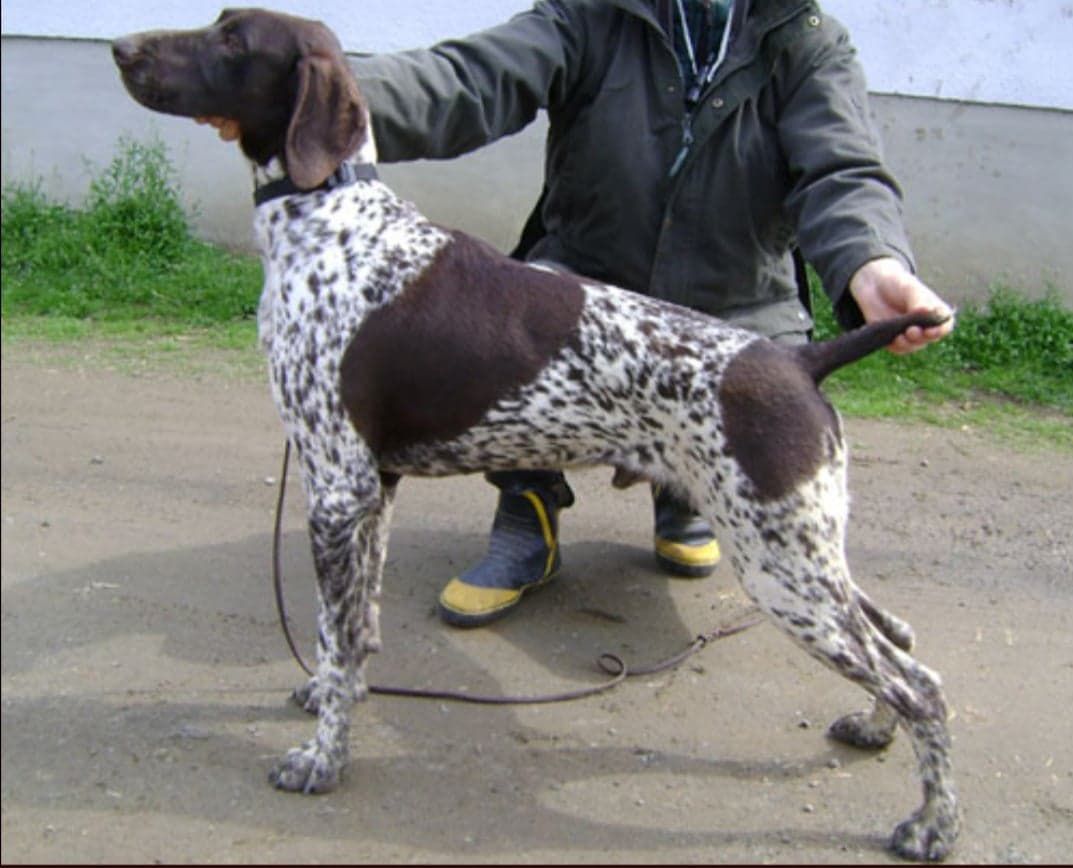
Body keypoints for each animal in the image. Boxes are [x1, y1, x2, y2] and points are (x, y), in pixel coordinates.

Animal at [117, 8, 965, 858]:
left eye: (231, 38)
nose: (122, 48)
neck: (331, 220)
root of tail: (797, 358)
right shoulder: (371, 490)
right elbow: (354, 627)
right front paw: (333, 694)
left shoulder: (334, 490)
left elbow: (333, 631)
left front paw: (323, 757)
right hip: (802, 550)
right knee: (902, 641)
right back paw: (872, 729)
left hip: (778, 565)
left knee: (922, 687)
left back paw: (932, 826)